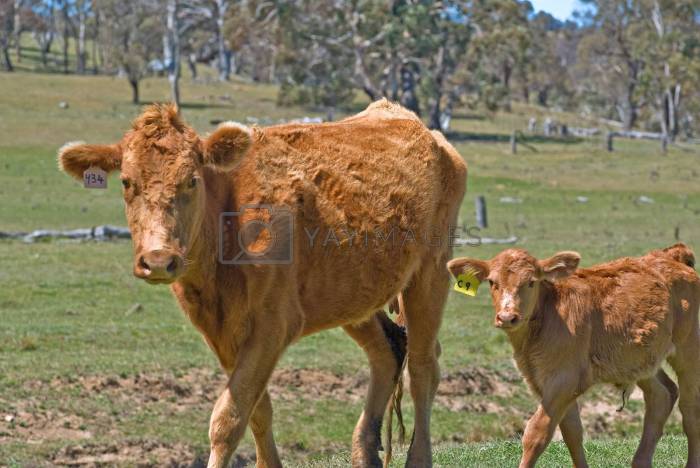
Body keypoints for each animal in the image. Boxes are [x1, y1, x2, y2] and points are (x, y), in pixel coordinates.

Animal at [57, 100, 468, 466]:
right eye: (127, 182)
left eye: (192, 180)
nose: (158, 259)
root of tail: (416, 124)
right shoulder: (221, 332)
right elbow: (256, 409)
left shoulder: (273, 324)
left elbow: (228, 417)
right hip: (354, 294)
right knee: (388, 351)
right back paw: (364, 454)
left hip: (430, 275)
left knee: (422, 368)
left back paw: (418, 458)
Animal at [448, 247, 700, 468]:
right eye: (492, 282)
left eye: (531, 281)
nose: (507, 317)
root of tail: (670, 255)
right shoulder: (548, 382)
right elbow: (572, 433)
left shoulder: (563, 379)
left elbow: (536, 432)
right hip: (639, 360)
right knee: (662, 395)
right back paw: (640, 462)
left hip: (689, 349)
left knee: (690, 409)